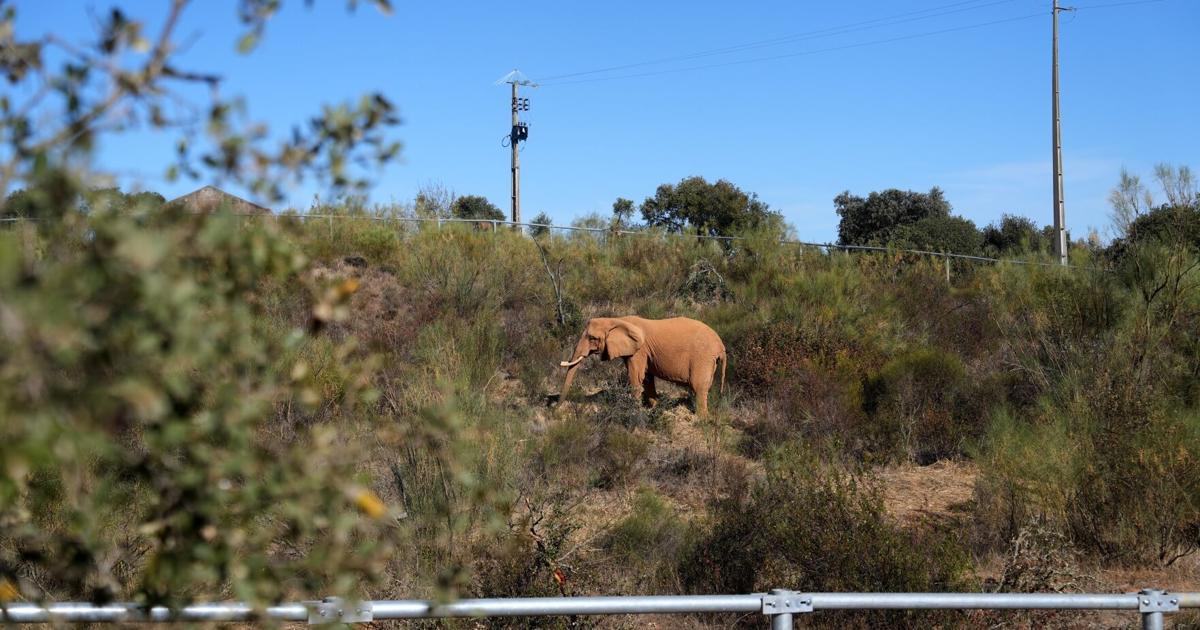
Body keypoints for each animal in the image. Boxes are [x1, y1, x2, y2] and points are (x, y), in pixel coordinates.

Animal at [558, 316, 726, 416]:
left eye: (592, 338)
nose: (555, 409)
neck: (617, 320)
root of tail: (721, 345)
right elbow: (646, 378)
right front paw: (653, 407)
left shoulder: (639, 350)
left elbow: (636, 376)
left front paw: (633, 409)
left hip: (703, 357)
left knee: (699, 387)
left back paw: (701, 419)